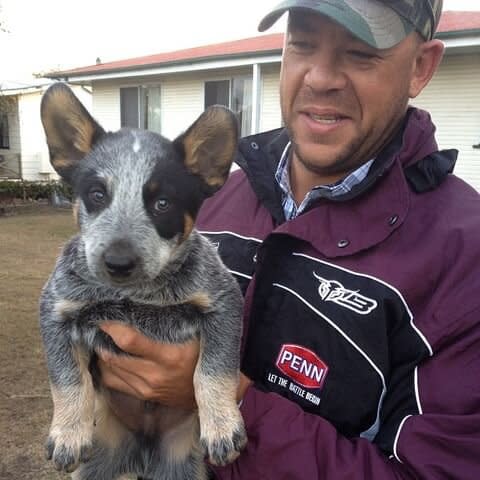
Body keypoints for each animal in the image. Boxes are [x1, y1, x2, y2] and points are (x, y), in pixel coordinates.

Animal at [39, 83, 248, 480]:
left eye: (162, 203)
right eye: (97, 194)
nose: (118, 262)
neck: (137, 295)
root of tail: (145, 453)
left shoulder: (223, 302)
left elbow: (213, 369)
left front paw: (222, 425)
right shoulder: (57, 309)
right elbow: (67, 378)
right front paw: (68, 434)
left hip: (182, 468)